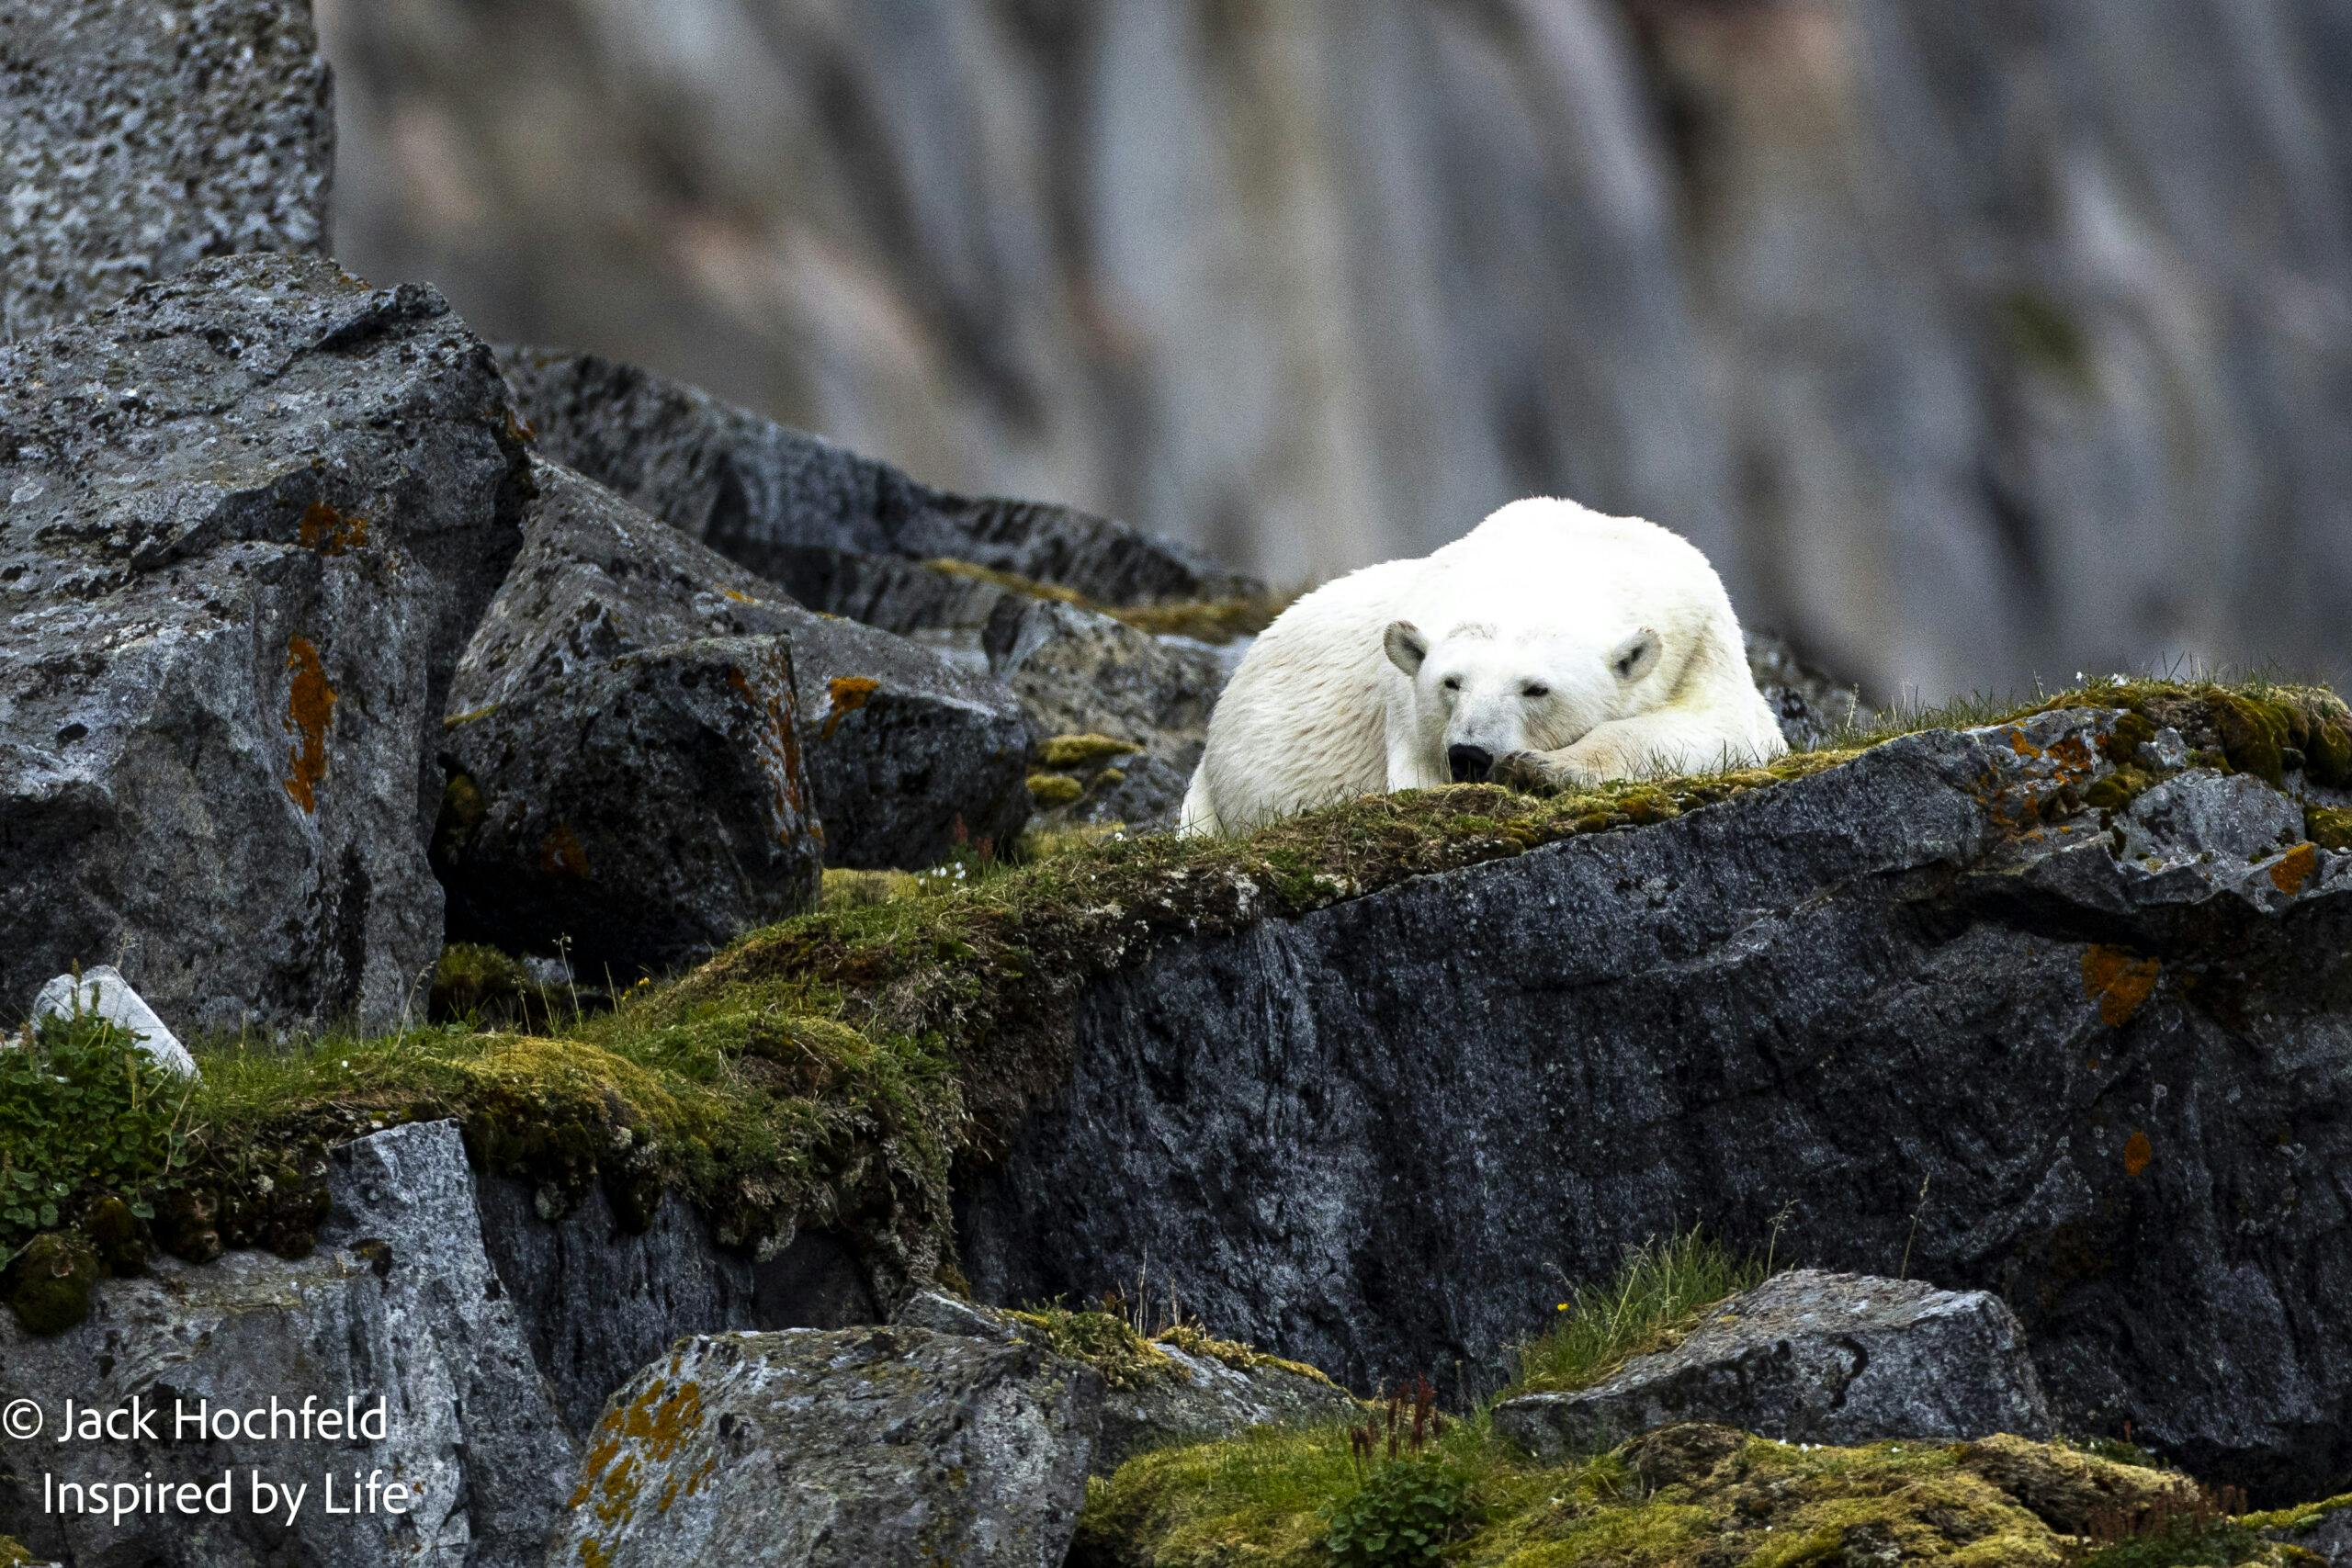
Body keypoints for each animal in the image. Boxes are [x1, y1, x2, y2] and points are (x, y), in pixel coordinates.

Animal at [1177, 497, 1786, 834]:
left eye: (1536, 689)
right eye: (1452, 682)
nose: (1470, 754)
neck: (1551, 559)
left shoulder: (1704, 632)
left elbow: (1720, 726)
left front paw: (1543, 767)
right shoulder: (1407, 709)